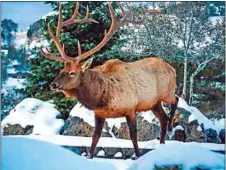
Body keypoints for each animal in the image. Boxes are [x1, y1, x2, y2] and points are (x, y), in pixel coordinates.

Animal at [40, 1, 178, 159]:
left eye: (72, 73)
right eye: (60, 71)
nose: (53, 84)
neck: (101, 96)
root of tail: (172, 68)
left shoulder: (131, 108)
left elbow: (133, 136)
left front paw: (137, 156)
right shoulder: (99, 114)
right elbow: (95, 137)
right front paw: (90, 157)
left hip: (166, 92)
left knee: (176, 100)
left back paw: (171, 126)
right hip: (154, 102)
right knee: (163, 119)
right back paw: (162, 144)